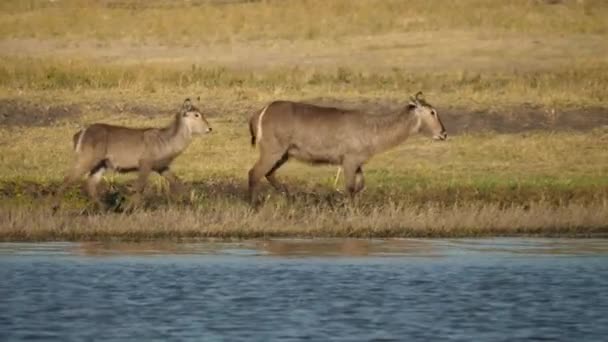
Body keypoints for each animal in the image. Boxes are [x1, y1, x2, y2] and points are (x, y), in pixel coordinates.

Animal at [52, 97, 214, 210]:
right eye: (196, 114)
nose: (209, 128)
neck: (167, 141)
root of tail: (80, 133)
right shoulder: (145, 163)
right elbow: (140, 187)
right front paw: (130, 209)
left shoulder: (162, 167)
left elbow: (178, 183)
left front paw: (194, 204)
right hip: (87, 158)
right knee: (68, 178)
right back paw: (54, 206)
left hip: (102, 164)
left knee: (90, 184)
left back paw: (103, 209)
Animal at [247, 91, 446, 204]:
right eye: (432, 112)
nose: (443, 133)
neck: (373, 130)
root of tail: (261, 112)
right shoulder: (349, 160)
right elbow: (350, 187)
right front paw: (349, 210)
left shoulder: (357, 162)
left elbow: (360, 185)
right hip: (272, 151)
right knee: (254, 173)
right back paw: (254, 204)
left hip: (284, 154)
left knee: (269, 174)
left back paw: (290, 196)